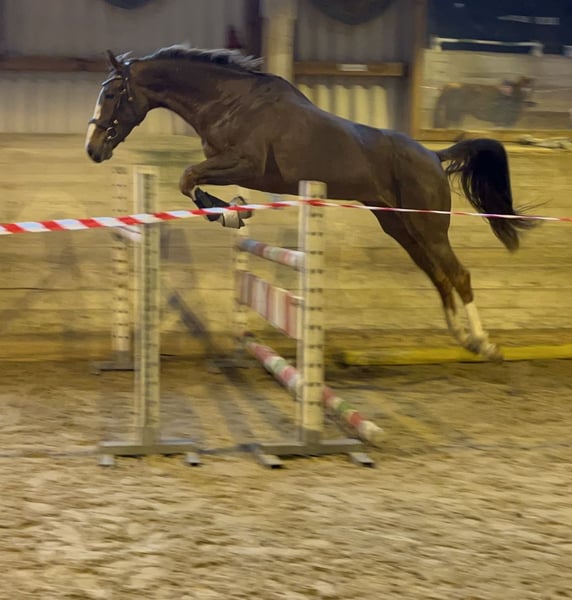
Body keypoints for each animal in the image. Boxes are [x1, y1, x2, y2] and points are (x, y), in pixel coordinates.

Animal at [86, 45, 536, 361]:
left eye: (112, 93)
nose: (93, 149)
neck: (230, 102)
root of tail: (432, 155)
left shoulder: (245, 165)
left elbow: (188, 179)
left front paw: (230, 213)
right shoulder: (232, 166)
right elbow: (190, 182)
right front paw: (233, 211)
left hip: (428, 224)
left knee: (458, 274)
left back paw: (484, 343)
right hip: (399, 225)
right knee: (439, 276)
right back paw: (462, 337)